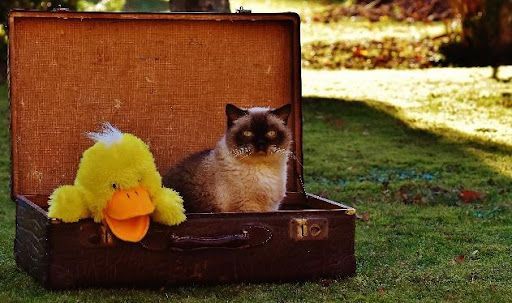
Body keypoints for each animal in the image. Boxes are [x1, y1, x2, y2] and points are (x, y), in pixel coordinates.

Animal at [164, 104, 292, 214]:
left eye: (271, 133)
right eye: (247, 133)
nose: (261, 144)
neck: (261, 170)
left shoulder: (270, 208)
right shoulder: (246, 207)